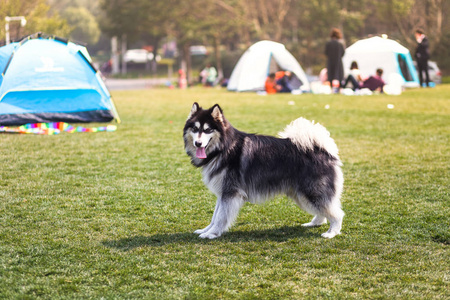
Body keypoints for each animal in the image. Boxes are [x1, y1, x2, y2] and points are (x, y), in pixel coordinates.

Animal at [183, 103, 344, 239]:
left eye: (208, 130)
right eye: (195, 129)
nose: (198, 143)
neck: (224, 148)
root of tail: (321, 149)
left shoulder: (230, 193)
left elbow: (220, 217)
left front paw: (212, 233)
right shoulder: (223, 193)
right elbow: (215, 216)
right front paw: (206, 230)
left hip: (312, 191)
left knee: (336, 213)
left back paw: (332, 232)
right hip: (302, 195)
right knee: (323, 211)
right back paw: (315, 223)